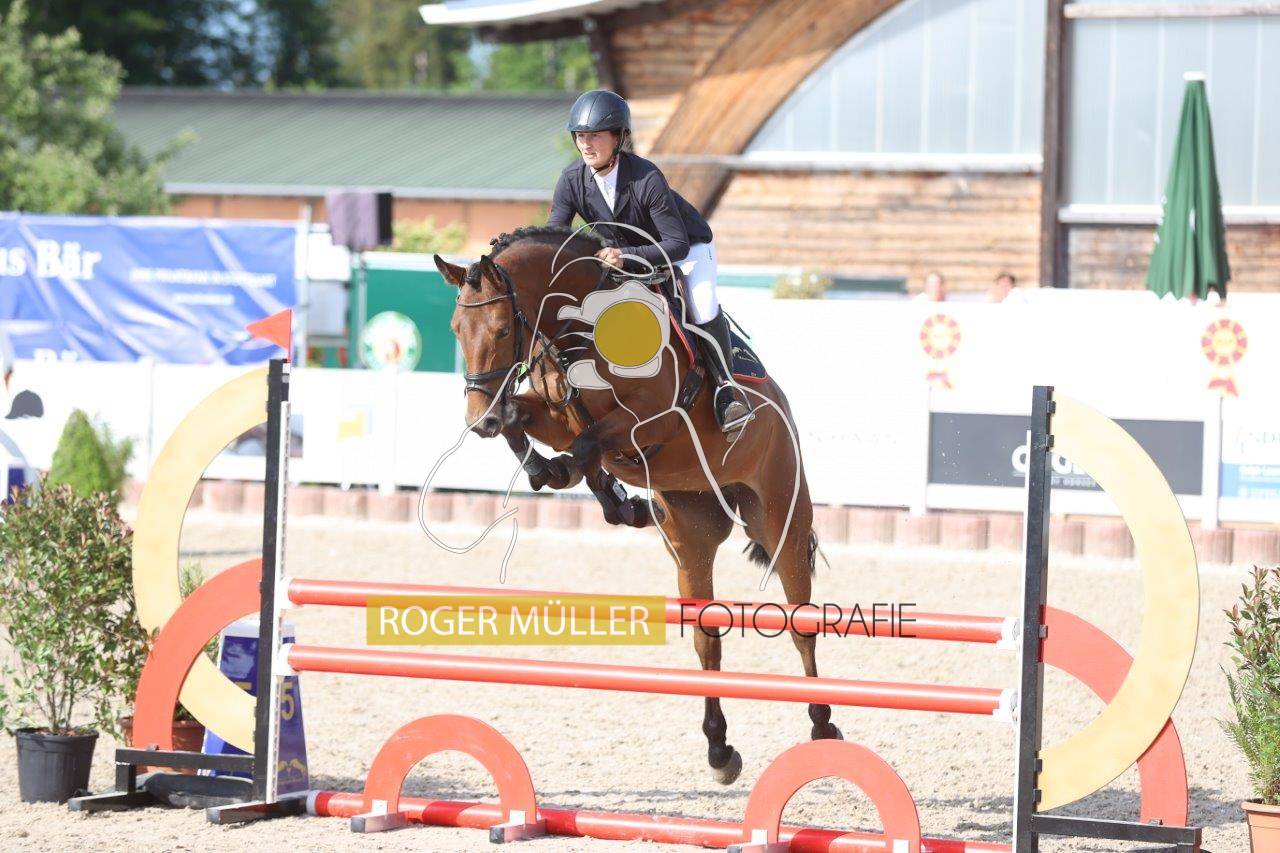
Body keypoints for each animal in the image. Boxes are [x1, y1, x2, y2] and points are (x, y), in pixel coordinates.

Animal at [433, 225, 839, 785]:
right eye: (456, 329)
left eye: (497, 329)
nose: (478, 421)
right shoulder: (557, 415)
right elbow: (530, 427)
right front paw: (575, 483)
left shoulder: (652, 420)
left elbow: (586, 446)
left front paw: (589, 485)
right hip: (691, 537)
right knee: (707, 636)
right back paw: (720, 750)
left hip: (782, 520)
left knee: (802, 622)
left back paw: (823, 725)